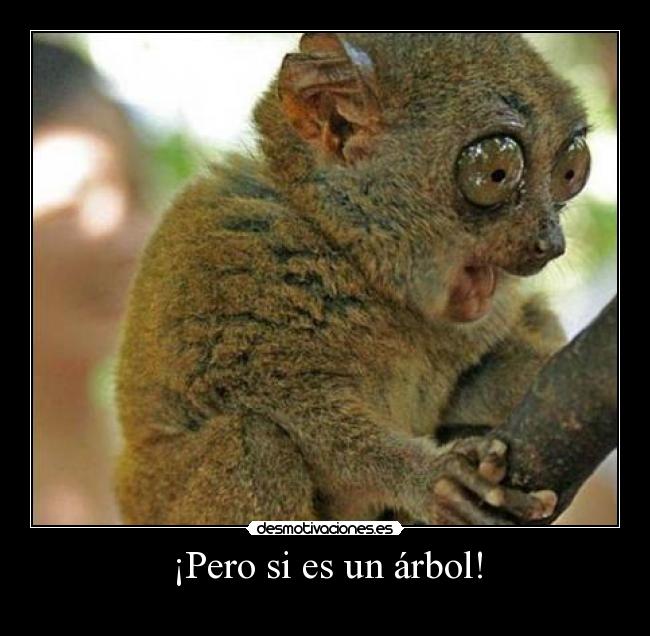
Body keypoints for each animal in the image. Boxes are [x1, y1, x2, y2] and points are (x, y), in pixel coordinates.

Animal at [116, 33, 591, 525]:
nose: (551, 242)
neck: (355, 262)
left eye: (571, 170)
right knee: (253, 443)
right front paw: (431, 480)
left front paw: (526, 372)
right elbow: (292, 412)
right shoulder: (236, 268)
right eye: (495, 171)